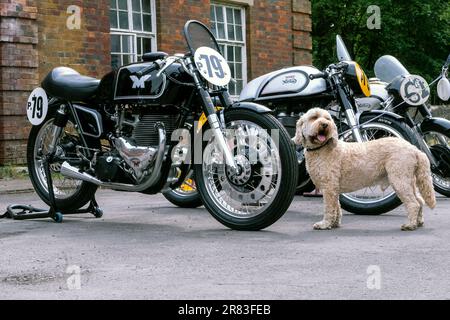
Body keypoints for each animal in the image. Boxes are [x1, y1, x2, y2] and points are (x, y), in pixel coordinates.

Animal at [294, 107, 434, 230]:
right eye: (314, 117)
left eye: (327, 118)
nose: (324, 124)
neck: (322, 148)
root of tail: (414, 149)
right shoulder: (334, 189)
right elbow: (337, 207)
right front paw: (334, 223)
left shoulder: (328, 188)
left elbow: (329, 208)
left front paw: (325, 224)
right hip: (409, 181)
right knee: (420, 201)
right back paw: (418, 222)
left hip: (400, 181)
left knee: (413, 204)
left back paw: (410, 225)